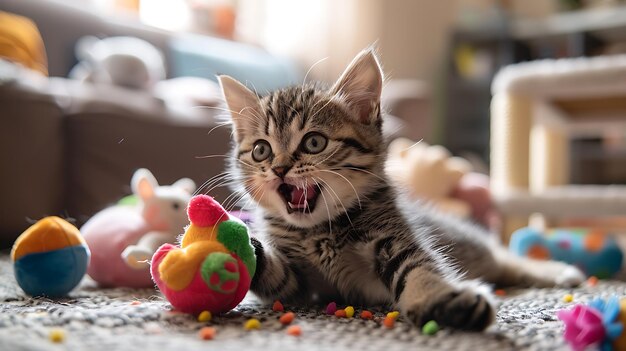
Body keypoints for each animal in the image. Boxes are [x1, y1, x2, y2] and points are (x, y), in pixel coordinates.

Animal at [216, 49, 584, 332]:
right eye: (261, 150)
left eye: (314, 142)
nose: (279, 169)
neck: (317, 232)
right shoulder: (301, 286)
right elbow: (278, 278)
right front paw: (245, 245)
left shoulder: (394, 236)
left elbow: (417, 268)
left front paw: (442, 300)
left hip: (473, 245)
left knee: (504, 255)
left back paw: (558, 270)